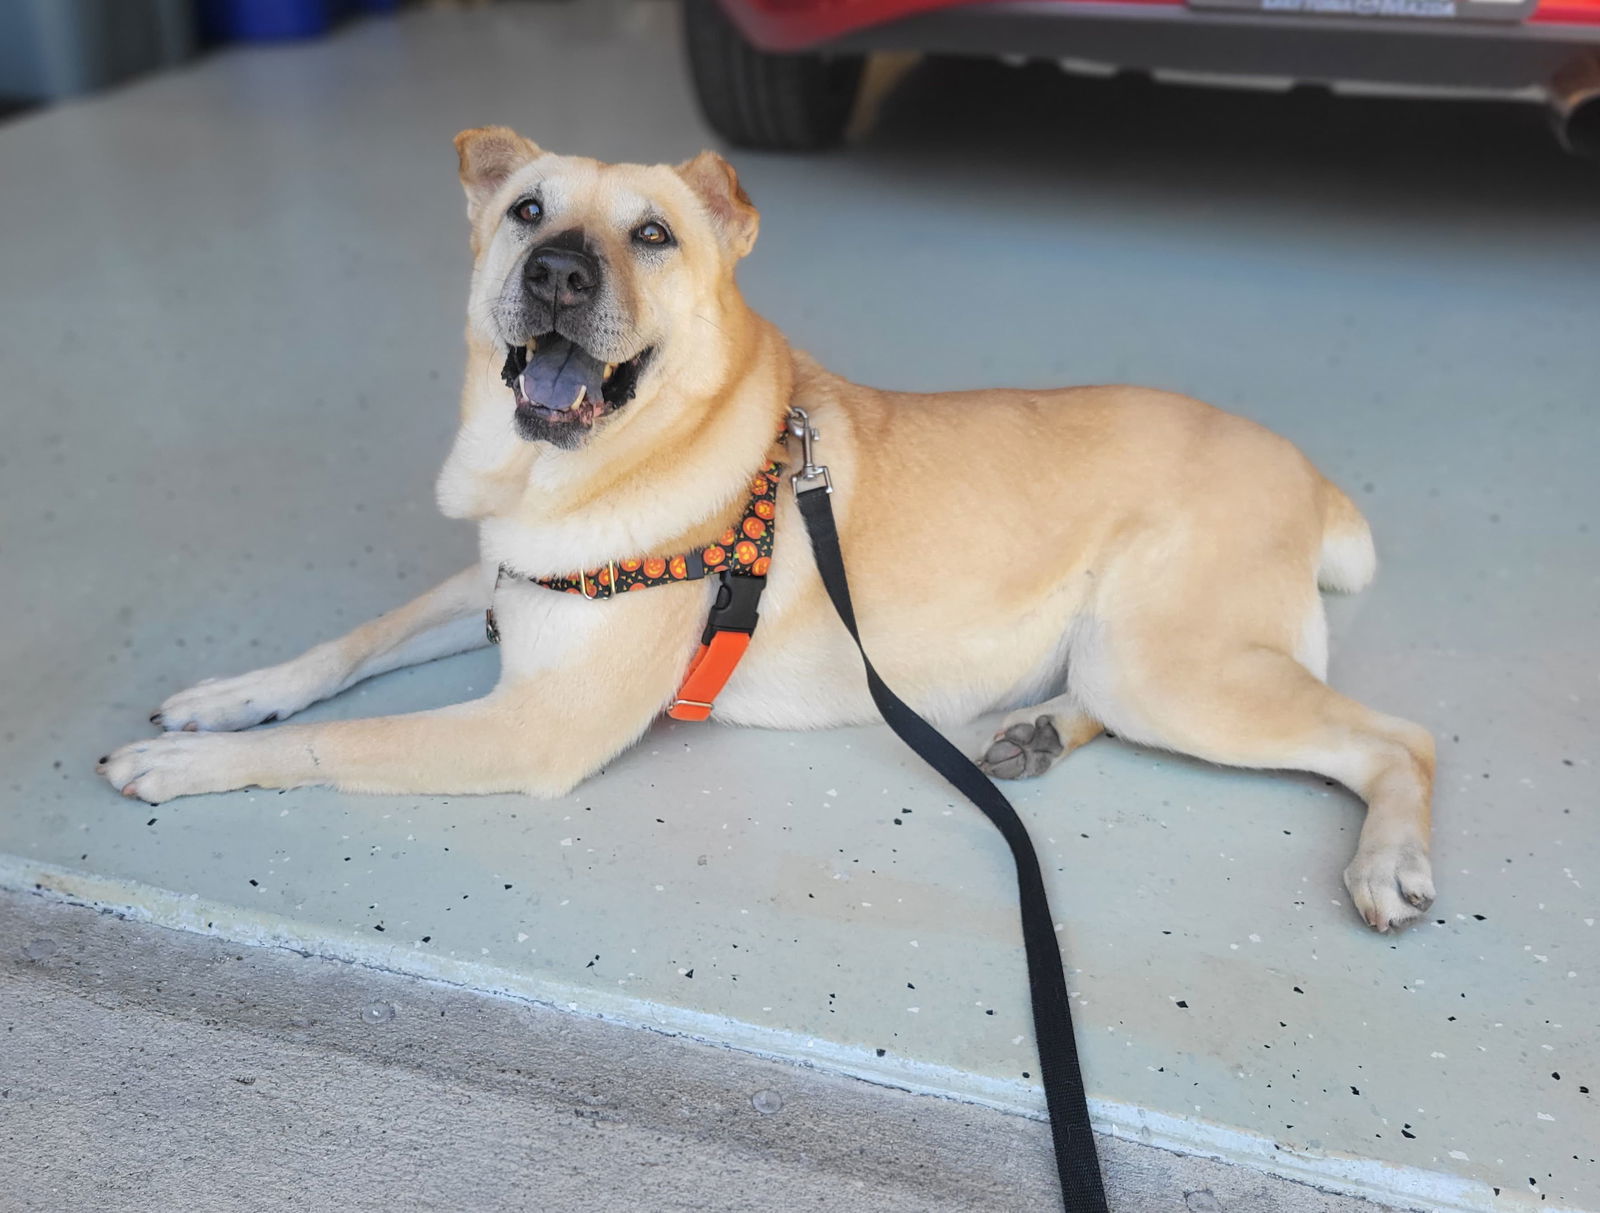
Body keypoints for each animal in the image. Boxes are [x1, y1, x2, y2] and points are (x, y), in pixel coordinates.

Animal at [100, 130, 1440, 928]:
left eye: (650, 235)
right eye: (527, 211)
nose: (557, 274)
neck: (560, 481)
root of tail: (1305, 469)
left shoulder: (535, 724)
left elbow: (344, 741)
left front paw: (187, 767)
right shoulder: (495, 581)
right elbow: (348, 647)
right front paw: (228, 697)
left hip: (1167, 664)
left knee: (1401, 739)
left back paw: (1386, 859)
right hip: (1130, 659)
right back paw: (1033, 732)